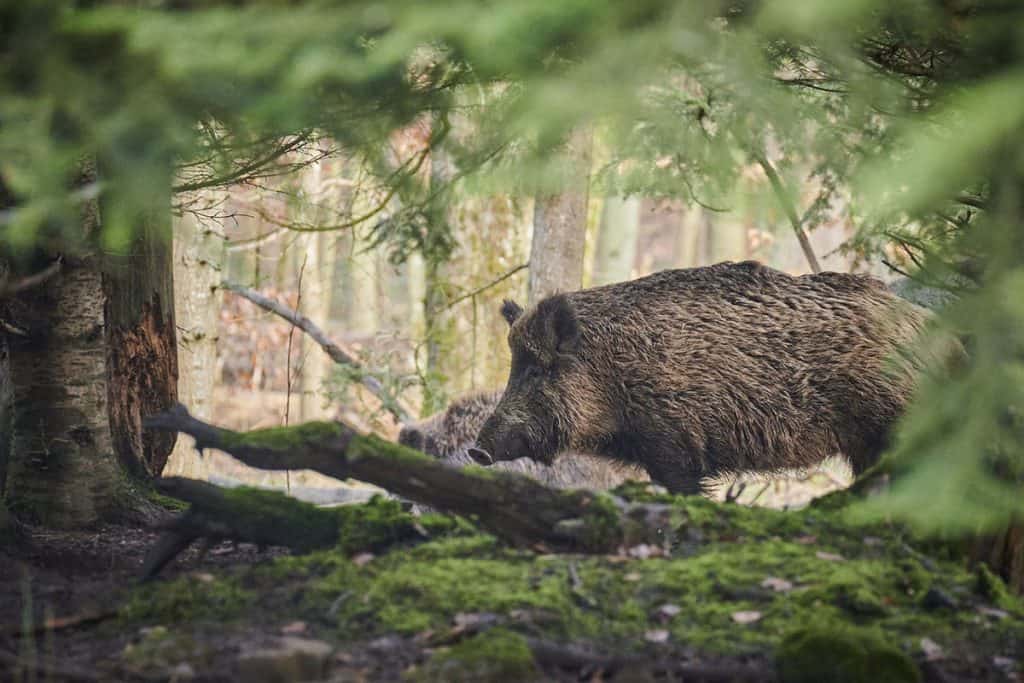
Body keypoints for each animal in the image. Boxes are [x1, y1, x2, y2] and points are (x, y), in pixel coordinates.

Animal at [472, 260, 942, 495]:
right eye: (515, 367)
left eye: (537, 370)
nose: (477, 450)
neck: (612, 373)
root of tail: (939, 331)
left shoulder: (674, 442)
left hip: (897, 424)